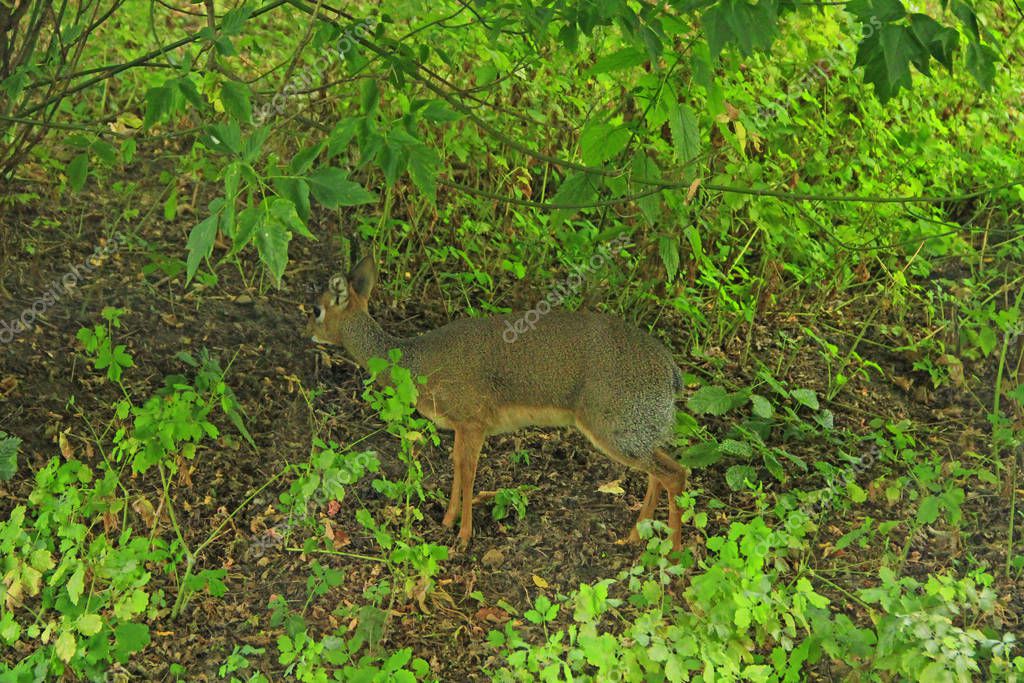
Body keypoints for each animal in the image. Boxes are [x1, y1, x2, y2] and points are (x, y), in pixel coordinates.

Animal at [307, 255, 692, 548]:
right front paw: (447, 521)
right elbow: (457, 466)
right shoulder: (460, 426)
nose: (309, 333)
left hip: (615, 430)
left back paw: (673, 552)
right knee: (663, 471)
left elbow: (468, 471)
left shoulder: (473, 421)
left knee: (676, 474)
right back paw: (634, 537)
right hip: (637, 431)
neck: (416, 362)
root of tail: (672, 372)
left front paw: (464, 535)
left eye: (317, 309)